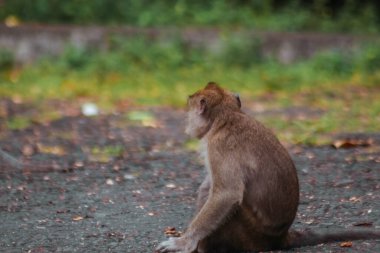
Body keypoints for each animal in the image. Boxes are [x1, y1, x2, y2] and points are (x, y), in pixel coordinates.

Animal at [155, 82, 380, 252]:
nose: (188, 124)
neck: (226, 118)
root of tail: (281, 237)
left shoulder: (219, 146)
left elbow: (226, 194)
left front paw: (184, 242)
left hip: (248, 234)